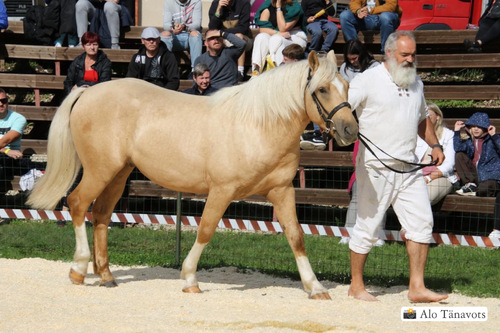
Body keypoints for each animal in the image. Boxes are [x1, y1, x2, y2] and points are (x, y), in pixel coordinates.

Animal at [27, 50, 358, 300]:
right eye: (322, 89)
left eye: (346, 86)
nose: (349, 131)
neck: (257, 126)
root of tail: (87, 91)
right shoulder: (222, 190)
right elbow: (206, 230)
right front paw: (189, 279)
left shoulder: (282, 191)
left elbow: (296, 236)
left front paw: (315, 287)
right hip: (100, 170)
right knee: (78, 203)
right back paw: (78, 269)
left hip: (118, 174)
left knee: (101, 215)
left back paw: (106, 275)